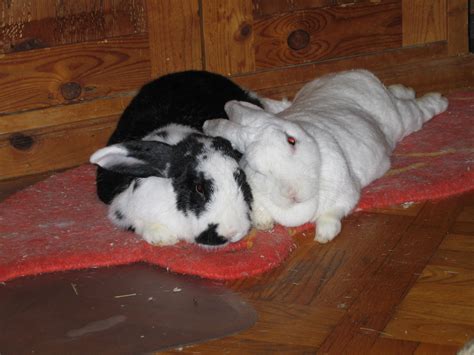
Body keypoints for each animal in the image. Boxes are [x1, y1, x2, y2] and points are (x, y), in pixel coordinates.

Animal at [204, 69, 448, 243]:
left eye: (291, 141)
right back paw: (404, 88)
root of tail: (356, 74)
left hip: (402, 120)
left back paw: (439, 99)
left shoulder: (346, 195)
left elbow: (332, 214)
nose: (292, 193)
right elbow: (260, 213)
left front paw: (324, 235)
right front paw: (265, 225)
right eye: (258, 170)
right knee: (403, 95)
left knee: (419, 110)